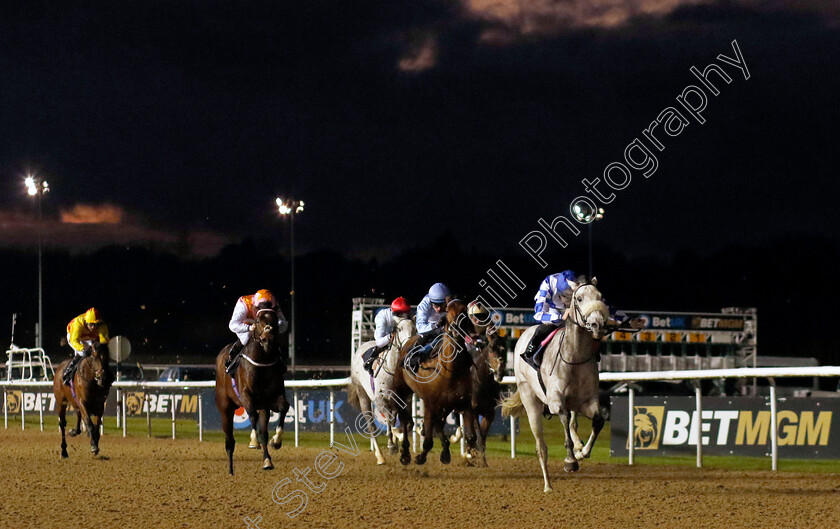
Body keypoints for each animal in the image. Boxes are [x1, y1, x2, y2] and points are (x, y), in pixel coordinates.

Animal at [213, 302, 288, 474]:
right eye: (258, 320)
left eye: (275, 320)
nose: (267, 340)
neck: (262, 364)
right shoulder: (247, 395)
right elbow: (252, 415)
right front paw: (253, 441)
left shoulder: (272, 398)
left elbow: (284, 408)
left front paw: (276, 441)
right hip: (225, 408)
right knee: (230, 441)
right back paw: (230, 472)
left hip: (264, 407)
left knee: (263, 433)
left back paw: (267, 460)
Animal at [344, 318, 416, 462]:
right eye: (399, 329)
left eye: (415, 328)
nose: (410, 347)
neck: (393, 371)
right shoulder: (381, 400)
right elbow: (389, 421)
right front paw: (392, 446)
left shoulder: (405, 400)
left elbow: (408, 423)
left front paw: (399, 440)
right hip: (363, 396)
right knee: (371, 426)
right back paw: (380, 457)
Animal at [392, 300, 480, 464]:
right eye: (449, 312)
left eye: (464, 312)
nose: (456, 330)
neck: (450, 372)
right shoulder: (430, 404)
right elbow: (427, 439)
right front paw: (420, 456)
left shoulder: (464, 404)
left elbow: (471, 436)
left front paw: (470, 455)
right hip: (401, 390)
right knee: (405, 419)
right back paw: (405, 453)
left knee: (438, 424)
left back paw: (445, 451)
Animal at [502, 278, 608, 488]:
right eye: (580, 298)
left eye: (600, 297)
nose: (597, 324)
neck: (574, 358)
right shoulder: (556, 401)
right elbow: (565, 420)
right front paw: (570, 460)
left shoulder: (588, 401)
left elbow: (597, 421)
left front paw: (582, 452)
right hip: (530, 401)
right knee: (541, 446)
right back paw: (548, 485)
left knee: (573, 426)